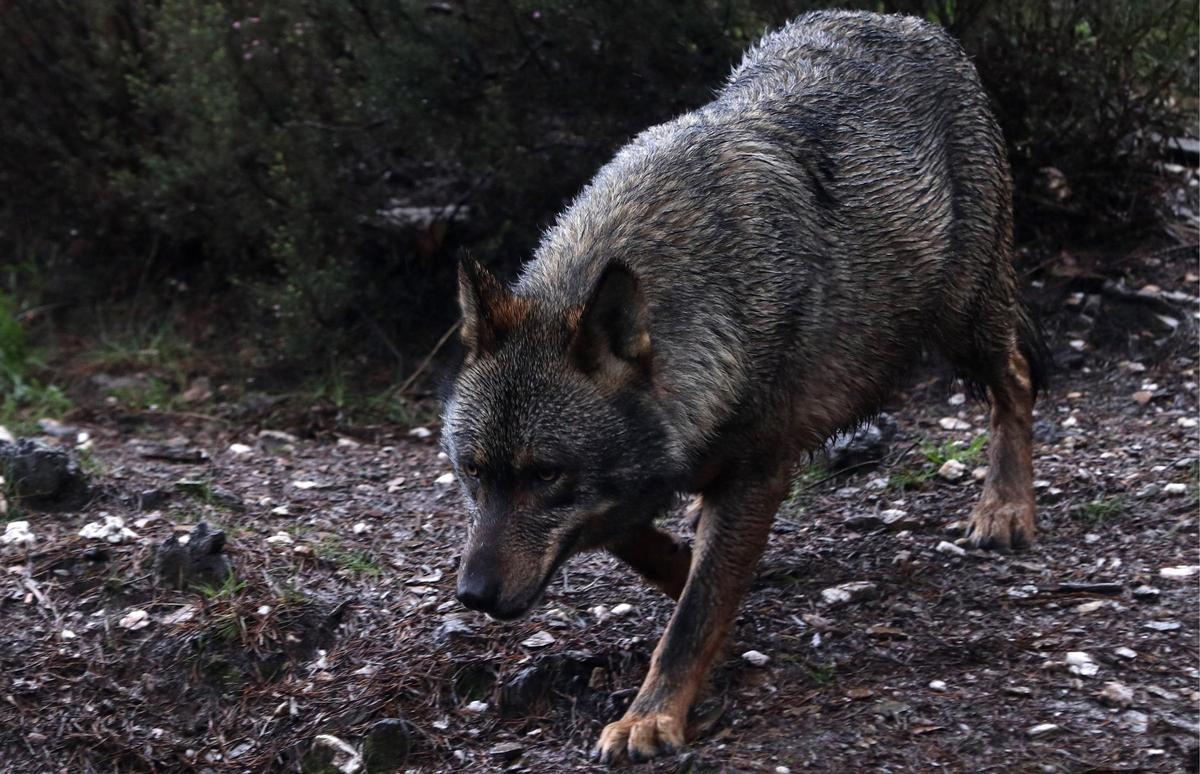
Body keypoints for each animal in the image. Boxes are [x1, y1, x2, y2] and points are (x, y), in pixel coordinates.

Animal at [439, 9, 1045, 764]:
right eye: (472, 472)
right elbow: (651, 547)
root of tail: (907, 22)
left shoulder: (758, 472)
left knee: (1016, 381)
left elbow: (693, 616)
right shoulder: (663, 478)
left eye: (545, 474)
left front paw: (651, 718)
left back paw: (1006, 508)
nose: (473, 595)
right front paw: (699, 574)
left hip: (965, 319)